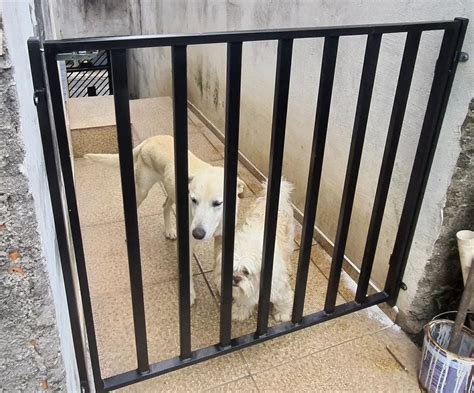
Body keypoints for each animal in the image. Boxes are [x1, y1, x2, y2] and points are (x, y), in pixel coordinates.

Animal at [85, 135, 246, 304]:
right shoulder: (188, 242)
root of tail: (149, 140)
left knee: (165, 206)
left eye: (218, 203)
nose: (197, 234)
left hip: (171, 192)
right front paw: (189, 294)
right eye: (194, 200)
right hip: (142, 191)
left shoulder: (222, 238)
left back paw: (169, 230)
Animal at [213, 179, 294, 320]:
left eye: (246, 272)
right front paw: (240, 311)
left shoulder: (279, 288)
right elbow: (244, 301)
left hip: (289, 239)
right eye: (229, 270)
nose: (235, 278)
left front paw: (282, 314)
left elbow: (284, 300)